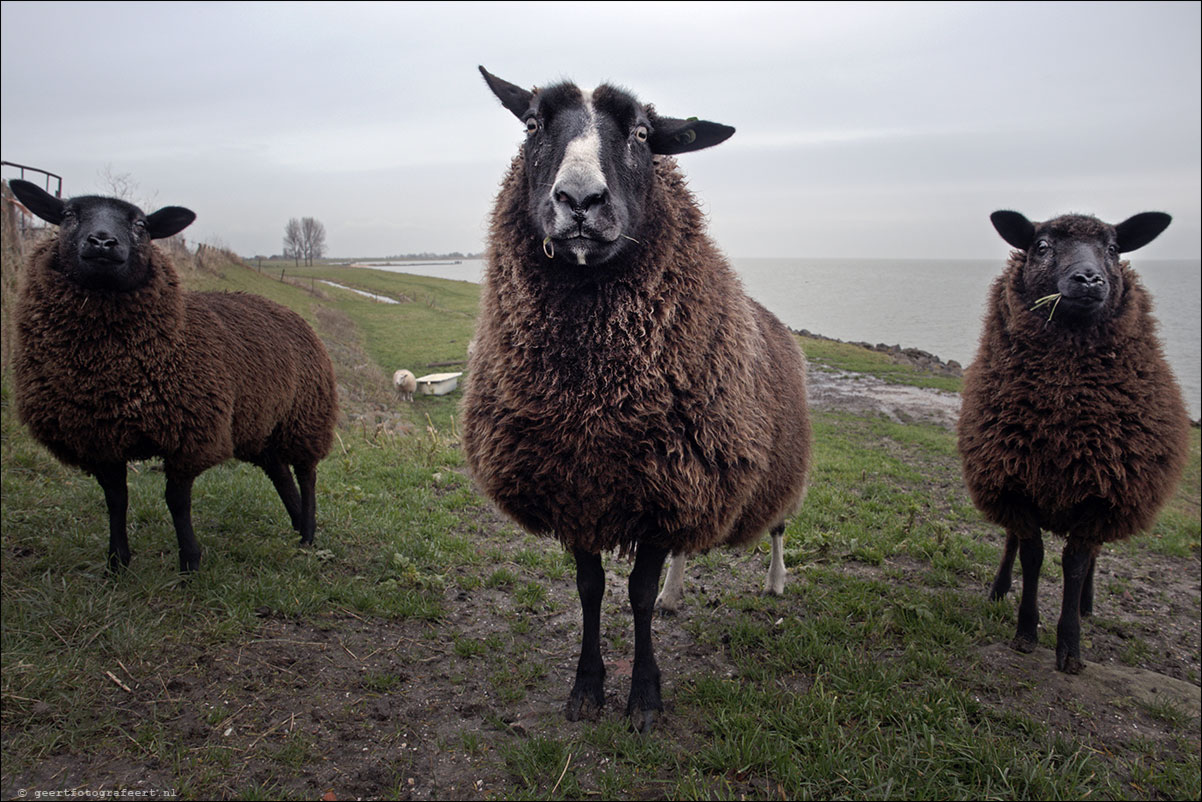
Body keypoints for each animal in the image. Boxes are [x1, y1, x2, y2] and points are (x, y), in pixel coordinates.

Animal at [8, 179, 338, 574]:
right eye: (68, 215)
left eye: (141, 225)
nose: (102, 242)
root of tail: (289, 311)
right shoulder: (99, 439)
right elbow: (116, 500)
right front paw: (117, 563)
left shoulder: (189, 435)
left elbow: (177, 502)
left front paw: (190, 563)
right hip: (259, 423)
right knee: (280, 472)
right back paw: (296, 525)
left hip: (305, 416)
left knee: (306, 473)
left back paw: (308, 532)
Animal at [463, 69, 812, 735]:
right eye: (532, 124)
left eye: (645, 134)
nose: (579, 200)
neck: (593, 402)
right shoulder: (578, 489)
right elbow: (592, 590)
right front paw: (586, 688)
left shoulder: (664, 489)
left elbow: (638, 596)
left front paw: (645, 697)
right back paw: (680, 593)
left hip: (769, 469)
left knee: (779, 526)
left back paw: (778, 583)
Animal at [956, 210, 1192, 673]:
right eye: (1042, 246)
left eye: (1114, 249)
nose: (1088, 279)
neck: (1062, 421)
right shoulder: (1015, 483)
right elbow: (1032, 555)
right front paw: (1026, 632)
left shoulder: (1101, 496)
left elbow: (1076, 563)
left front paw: (1070, 646)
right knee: (1011, 541)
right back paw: (999, 587)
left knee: (1093, 557)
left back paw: (1086, 604)